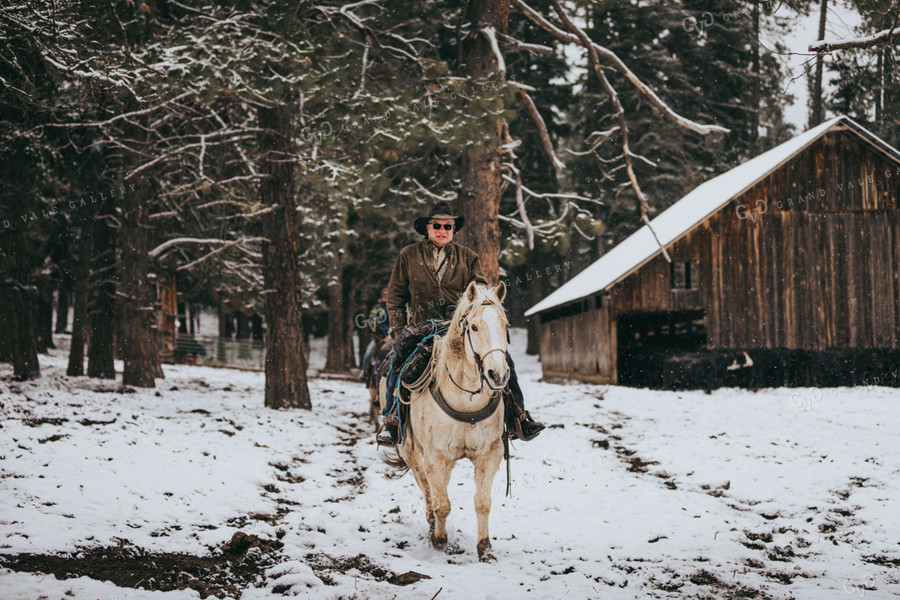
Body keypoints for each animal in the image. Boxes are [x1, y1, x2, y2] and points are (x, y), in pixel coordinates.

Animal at [378, 282, 510, 564]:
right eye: (474, 327)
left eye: (505, 325)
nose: (498, 374)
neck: (465, 400)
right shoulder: (435, 458)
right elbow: (442, 503)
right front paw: (440, 541)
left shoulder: (490, 454)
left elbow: (483, 502)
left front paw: (485, 549)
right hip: (410, 451)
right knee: (427, 489)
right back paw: (431, 525)